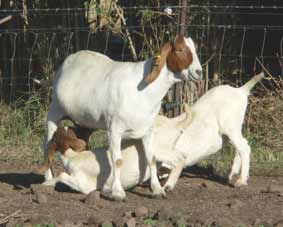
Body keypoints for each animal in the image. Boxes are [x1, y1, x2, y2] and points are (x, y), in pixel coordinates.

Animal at [43, 34, 204, 200]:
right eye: (180, 49)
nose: (199, 72)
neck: (143, 92)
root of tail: (67, 62)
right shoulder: (115, 129)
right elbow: (117, 160)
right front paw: (117, 192)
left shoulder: (148, 130)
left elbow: (151, 158)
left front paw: (157, 189)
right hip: (54, 112)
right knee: (47, 145)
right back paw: (48, 179)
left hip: (84, 122)